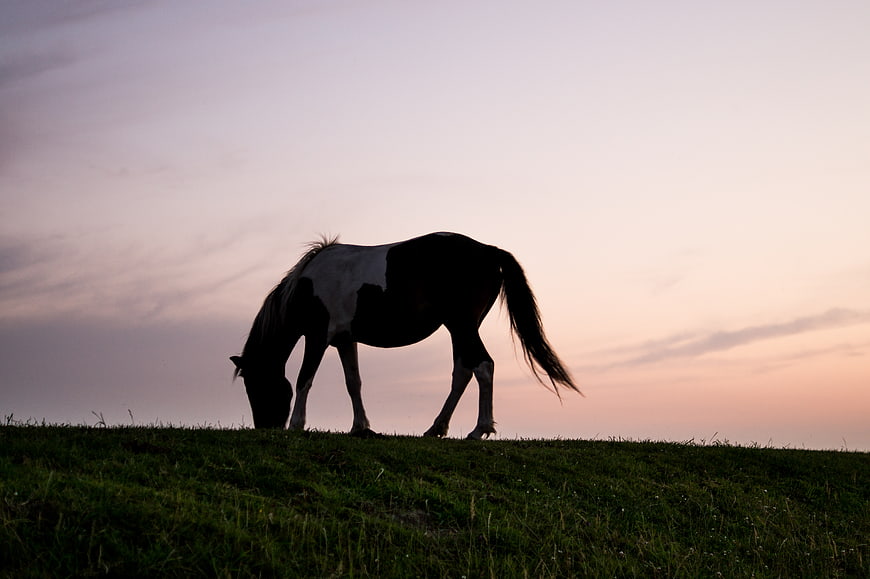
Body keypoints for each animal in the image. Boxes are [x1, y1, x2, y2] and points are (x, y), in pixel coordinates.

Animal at [230, 232, 579, 439]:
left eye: (255, 385)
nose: (265, 427)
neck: (307, 285)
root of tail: (489, 252)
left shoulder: (318, 336)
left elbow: (305, 378)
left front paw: (296, 425)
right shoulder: (344, 340)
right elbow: (353, 382)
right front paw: (361, 427)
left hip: (463, 325)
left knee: (483, 366)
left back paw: (479, 430)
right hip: (459, 328)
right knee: (463, 371)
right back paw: (437, 428)